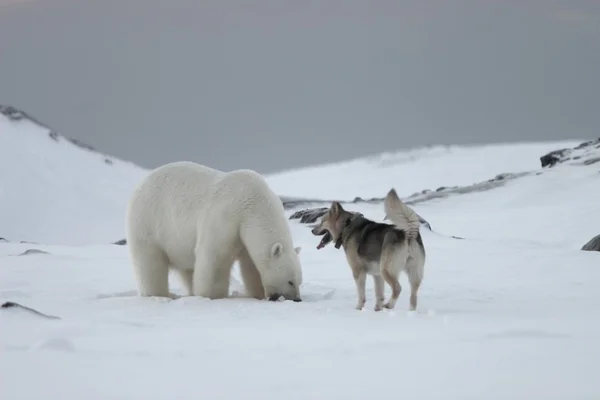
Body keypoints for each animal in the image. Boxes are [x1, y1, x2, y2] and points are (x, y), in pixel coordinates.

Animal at [126, 161, 304, 302]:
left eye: (299, 281)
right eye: (290, 281)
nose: (297, 299)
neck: (254, 202)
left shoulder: (244, 233)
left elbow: (251, 265)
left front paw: (258, 293)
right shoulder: (226, 216)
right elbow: (215, 257)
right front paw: (214, 295)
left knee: (188, 268)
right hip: (149, 222)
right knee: (151, 263)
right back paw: (161, 294)